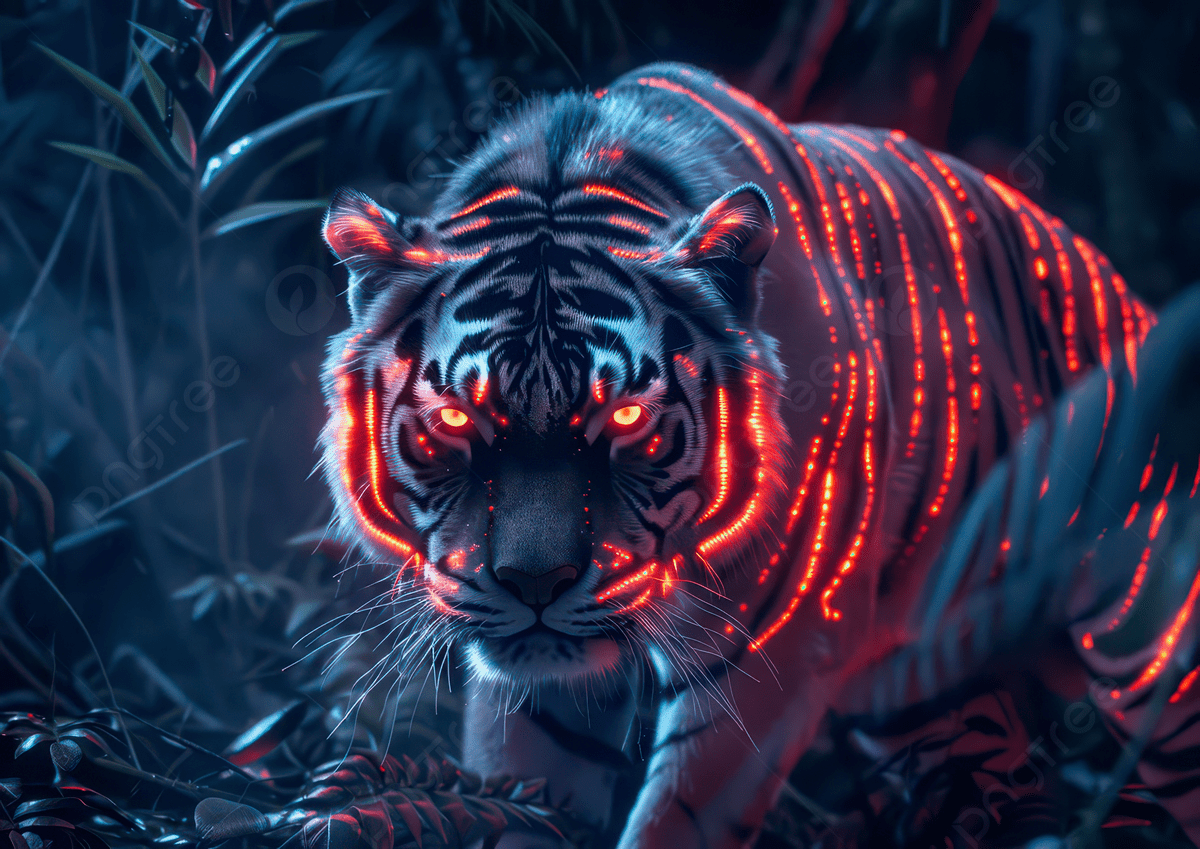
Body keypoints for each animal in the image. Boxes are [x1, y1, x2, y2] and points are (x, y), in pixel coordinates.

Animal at [318, 61, 1200, 848]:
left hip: (1146, 646)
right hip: (920, 699)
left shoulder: (773, 648)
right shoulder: (533, 686)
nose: (536, 583)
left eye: (625, 415)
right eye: (457, 418)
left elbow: (676, 822)